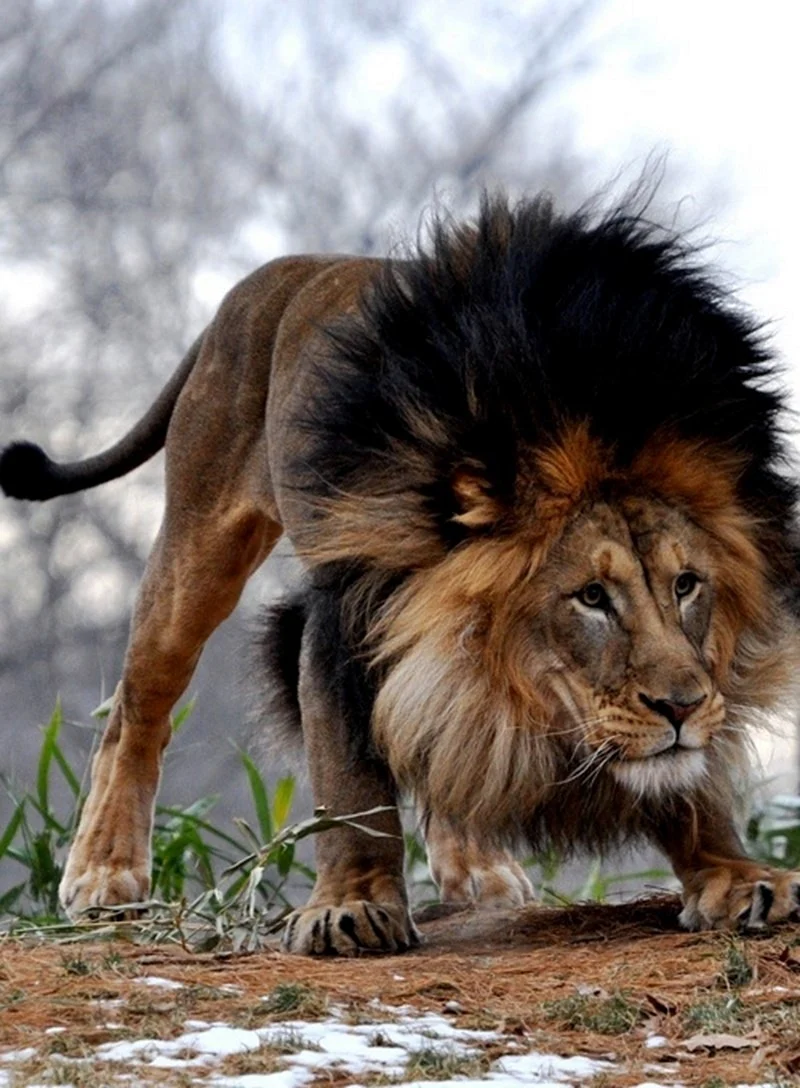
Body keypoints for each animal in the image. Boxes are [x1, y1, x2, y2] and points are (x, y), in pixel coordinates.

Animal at [3, 193, 800, 955]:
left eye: (686, 584)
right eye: (591, 597)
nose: (681, 707)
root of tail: (286, 271)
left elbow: (681, 776)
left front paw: (733, 873)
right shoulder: (343, 625)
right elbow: (353, 783)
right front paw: (352, 905)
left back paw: (477, 866)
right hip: (197, 543)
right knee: (136, 712)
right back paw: (104, 871)